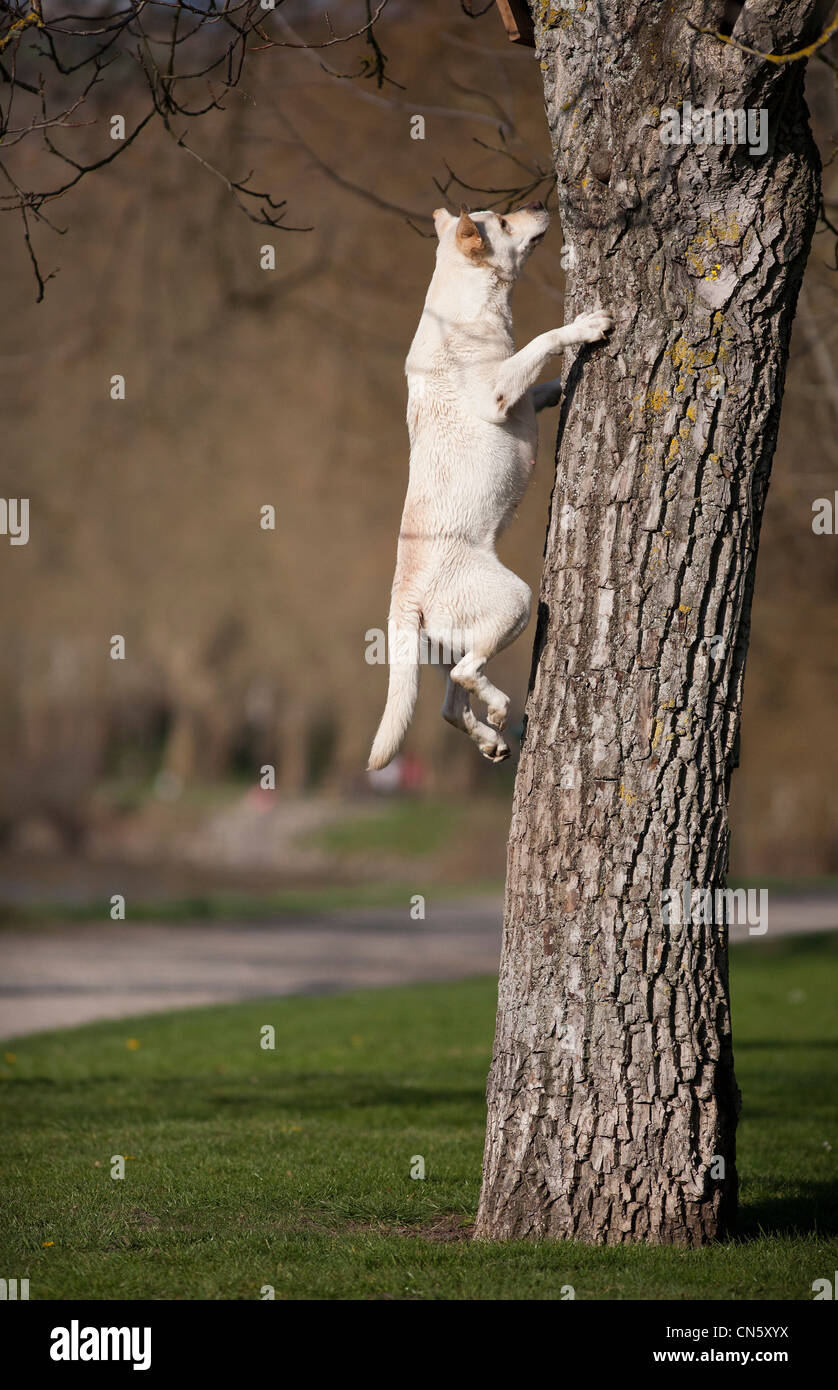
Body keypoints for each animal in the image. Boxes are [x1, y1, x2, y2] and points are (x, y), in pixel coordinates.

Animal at [369, 204, 614, 772]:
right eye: (502, 221)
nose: (542, 206)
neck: (469, 307)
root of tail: (404, 597)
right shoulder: (500, 392)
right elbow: (544, 340)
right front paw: (586, 327)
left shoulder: (520, 395)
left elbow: (542, 385)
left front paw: (562, 385)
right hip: (515, 601)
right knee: (467, 677)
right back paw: (501, 709)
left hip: (449, 645)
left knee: (450, 705)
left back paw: (491, 738)